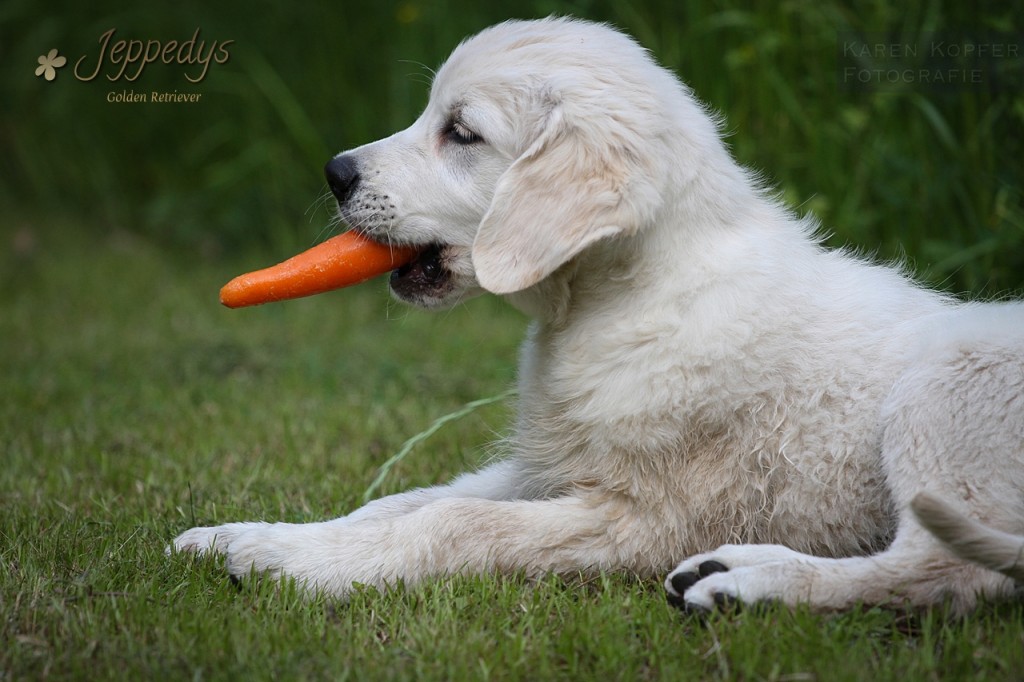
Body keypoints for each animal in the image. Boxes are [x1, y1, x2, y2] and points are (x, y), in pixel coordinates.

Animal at [172, 17, 1019, 610]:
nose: (335, 171)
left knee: (946, 573)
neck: (621, 303)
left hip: (947, 391)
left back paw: (750, 587)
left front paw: (303, 567)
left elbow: (451, 522)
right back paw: (734, 567)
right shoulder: (544, 468)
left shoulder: (640, 517)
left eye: (461, 132)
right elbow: (401, 501)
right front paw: (246, 538)